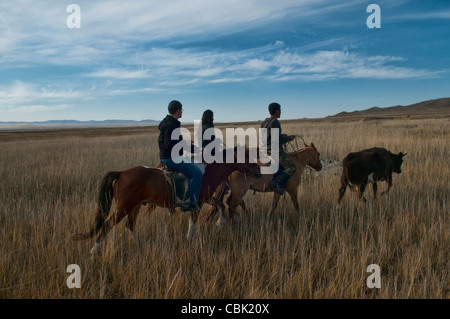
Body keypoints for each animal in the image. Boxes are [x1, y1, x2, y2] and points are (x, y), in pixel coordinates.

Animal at [71, 152, 260, 255]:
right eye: (247, 157)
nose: (258, 171)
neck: (206, 172)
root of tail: (122, 173)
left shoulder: (206, 199)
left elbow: (220, 206)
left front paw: (220, 223)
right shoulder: (197, 202)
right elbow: (193, 221)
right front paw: (189, 238)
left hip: (135, 206)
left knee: (130, 225)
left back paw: (140, 244)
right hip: (123, 207)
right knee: (107, 224)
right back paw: (95, 250)